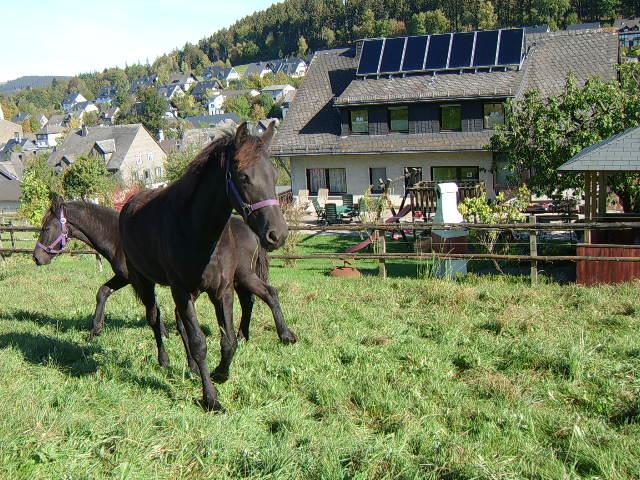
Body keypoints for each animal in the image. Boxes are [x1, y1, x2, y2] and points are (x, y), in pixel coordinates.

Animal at [119, 122, 288, 410]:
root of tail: (128, 203)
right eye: (243, 176)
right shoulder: (180, 290)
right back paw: (164, 360)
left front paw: (220, 373)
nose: (277, 235)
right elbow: (199, 342)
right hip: (145, 281)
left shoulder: (222, 290)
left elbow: (228, 341)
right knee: (155, 318)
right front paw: (210, 399)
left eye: (274, 175)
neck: (195, 228)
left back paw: (192, 367)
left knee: (181, 323)